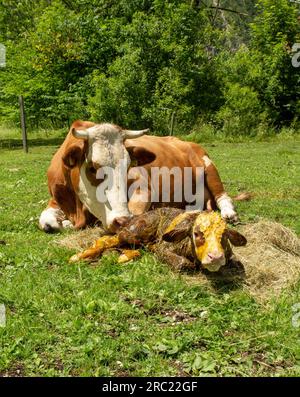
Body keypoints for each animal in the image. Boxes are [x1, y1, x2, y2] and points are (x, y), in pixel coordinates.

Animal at [38, 120, 239, 232]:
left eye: (128, 165)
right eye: (93, 168)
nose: (120, 220)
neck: (77, 209)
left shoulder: (143, 187)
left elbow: (136, 213)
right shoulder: (56, 198)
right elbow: (46, 222)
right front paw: (64, 223)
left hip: (209, 167)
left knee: (223, 196)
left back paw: (229, 213)